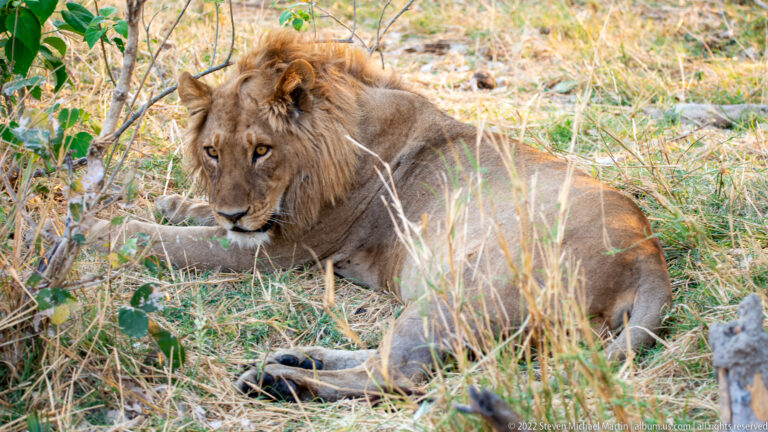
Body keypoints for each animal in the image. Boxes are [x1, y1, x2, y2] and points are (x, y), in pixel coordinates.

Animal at [93, 30, 671, 402]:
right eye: (213, 152)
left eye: (261, 150)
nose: (234, 213)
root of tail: (648, 258)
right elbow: (192, 221)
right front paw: (176, 204)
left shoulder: (281, 251)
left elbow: (169, 241)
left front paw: (96, 230)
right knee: (389, 358)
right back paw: (295, 360)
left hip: (463, 288)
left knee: (395, 375)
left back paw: (280, 382)